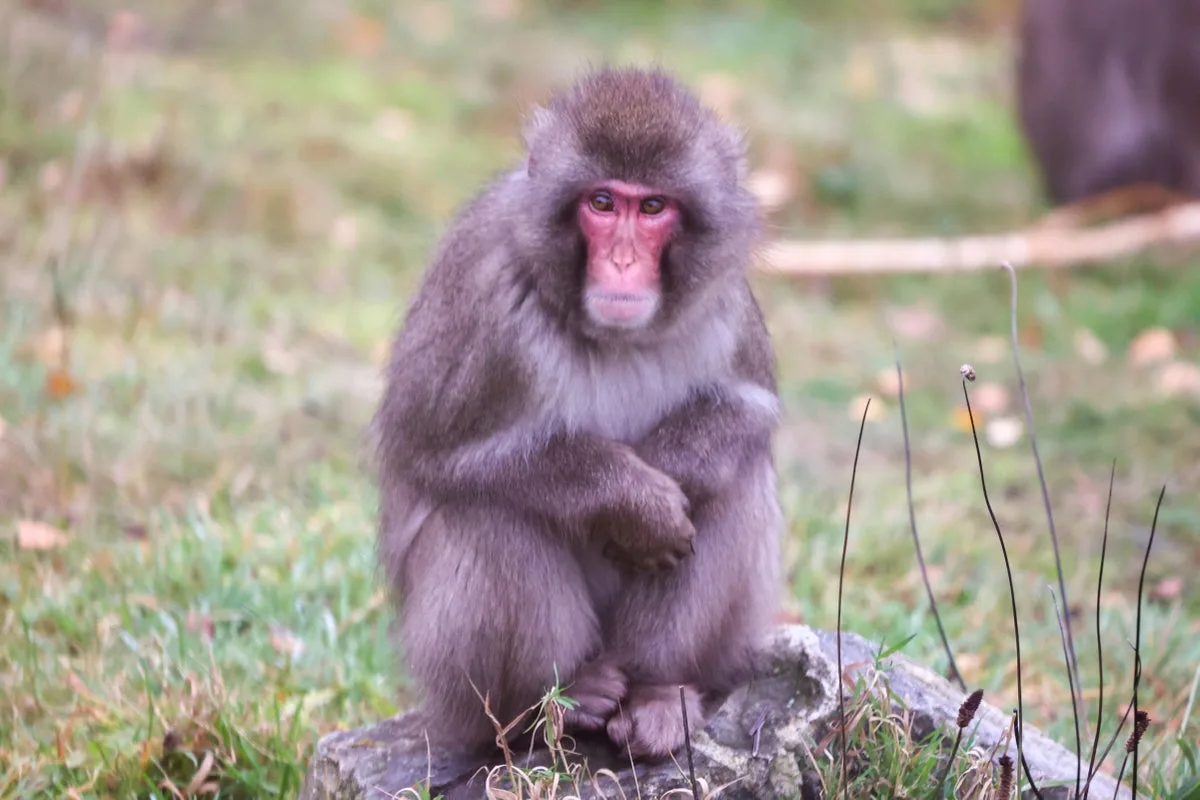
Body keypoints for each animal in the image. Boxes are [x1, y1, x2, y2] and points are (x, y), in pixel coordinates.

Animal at [372, 66, 782, 763]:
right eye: (601, 203)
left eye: (652, 208)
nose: (621, 261)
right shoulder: (484, 295)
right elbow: (430, 452)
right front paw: (632, 500)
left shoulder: (723, 302)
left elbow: (750, 410)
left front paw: (670, 470)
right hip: (456, 691)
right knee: (489, 512)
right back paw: (551, 705)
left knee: (734, 480)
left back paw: (654, 689)